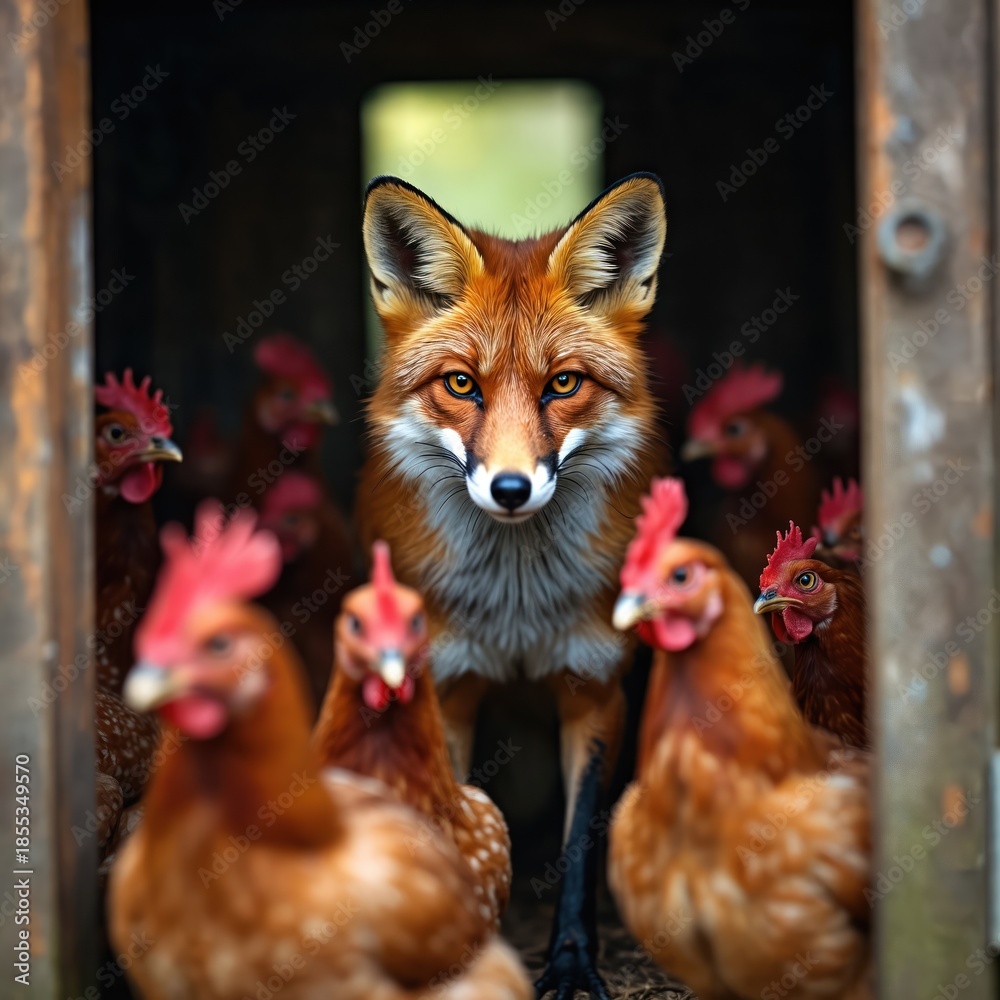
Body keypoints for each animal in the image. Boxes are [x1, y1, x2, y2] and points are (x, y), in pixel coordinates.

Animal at [357, 173, 666, 998]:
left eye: (563, 383)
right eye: (461, 384)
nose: (509, 488)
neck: (517, 609)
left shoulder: (596, 689)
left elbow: (579, 847)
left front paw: (571, 963)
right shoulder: (446, 688)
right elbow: (447, 825)